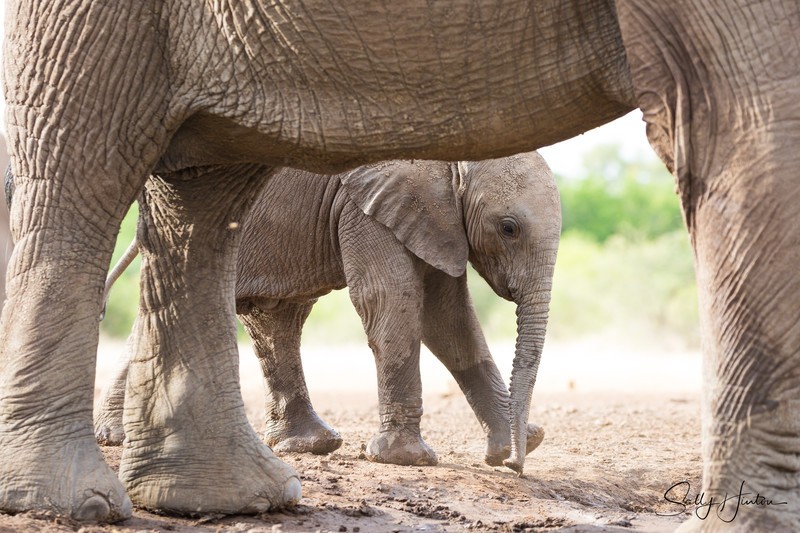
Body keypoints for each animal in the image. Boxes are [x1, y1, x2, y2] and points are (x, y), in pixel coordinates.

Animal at [93, 153, 557, 469]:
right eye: (509, 228)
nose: (515, 465)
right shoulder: (369, 206)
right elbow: (393, 298)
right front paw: (406, 459)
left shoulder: (434, 219)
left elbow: (449, 318)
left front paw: (517, 445)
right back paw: (120, 437)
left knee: (276, 317)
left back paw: (311, 445)